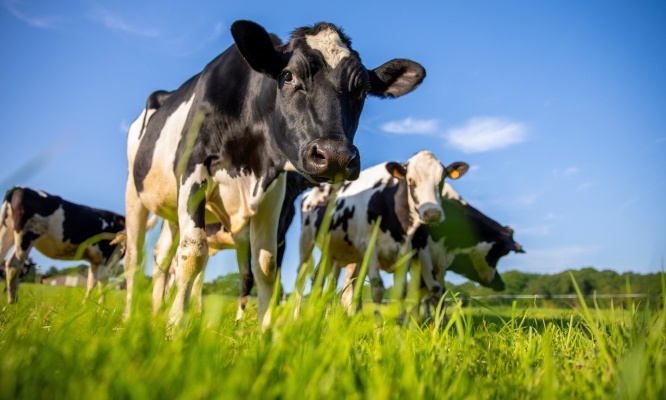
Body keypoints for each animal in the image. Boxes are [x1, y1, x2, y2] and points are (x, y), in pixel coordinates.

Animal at [124, 20, 426, 327]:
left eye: (363, 91)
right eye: (289, 76)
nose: (335, 156)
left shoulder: (273, 193)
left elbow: (266, 265)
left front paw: (265, 329)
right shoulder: (193, 170)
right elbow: (193, 253)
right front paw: (176, 325)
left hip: (171, 211)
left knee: (162, 257)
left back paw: (154, 311)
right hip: (134, 192)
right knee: (135, 256)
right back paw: (130, 316)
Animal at [297, 150, 469, 314]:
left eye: (442, 180)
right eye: (411, 181)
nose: (432, 213)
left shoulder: (406, 250)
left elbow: (403, 290)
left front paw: (400, 324)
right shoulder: (368, 245)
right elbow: (377, 287)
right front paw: (378, 324)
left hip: (331, 250)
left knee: (321, 280)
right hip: (306, 241)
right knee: (303, 278)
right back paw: (298, 317)